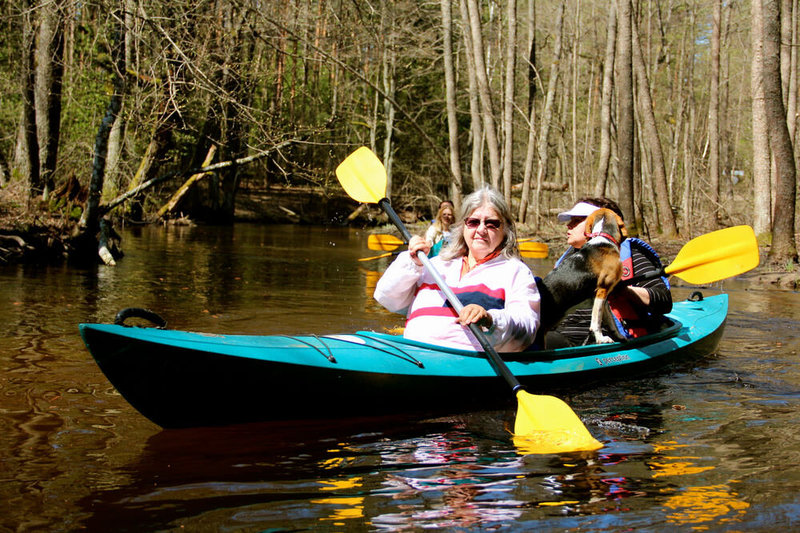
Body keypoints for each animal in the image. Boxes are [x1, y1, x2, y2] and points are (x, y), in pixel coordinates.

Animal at [536, 208, 628, 344]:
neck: (603, 236)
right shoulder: (602, 289)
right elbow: (596, 322)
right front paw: (601, 338)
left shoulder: (602, 298)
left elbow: (610, 322)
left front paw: (619, 337)